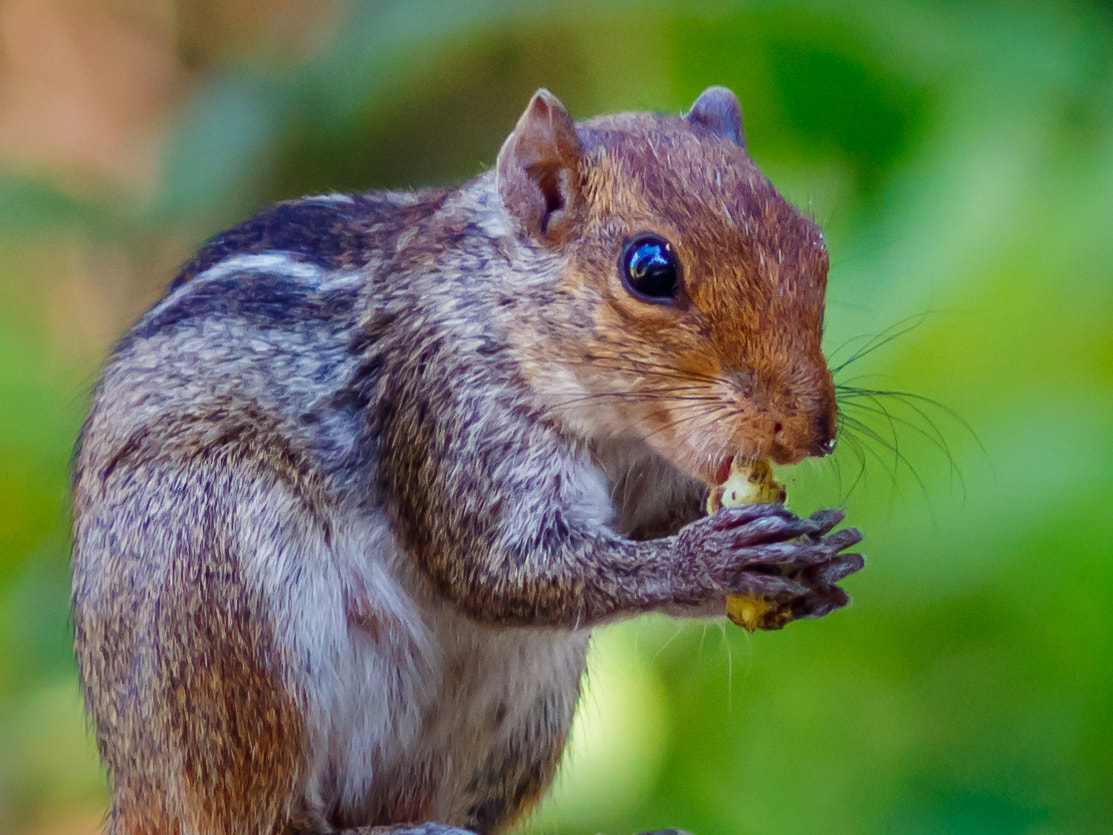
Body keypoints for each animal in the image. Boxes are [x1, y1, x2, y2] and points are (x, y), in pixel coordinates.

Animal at [69, 86, 863, 835]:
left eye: (814, 244)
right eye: (649, 269)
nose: (812, 431)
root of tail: (133, 786)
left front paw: (811, 560)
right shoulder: (452, 407)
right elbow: (499, 566)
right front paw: (711, 560)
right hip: (217, 580)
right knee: (257, 816)